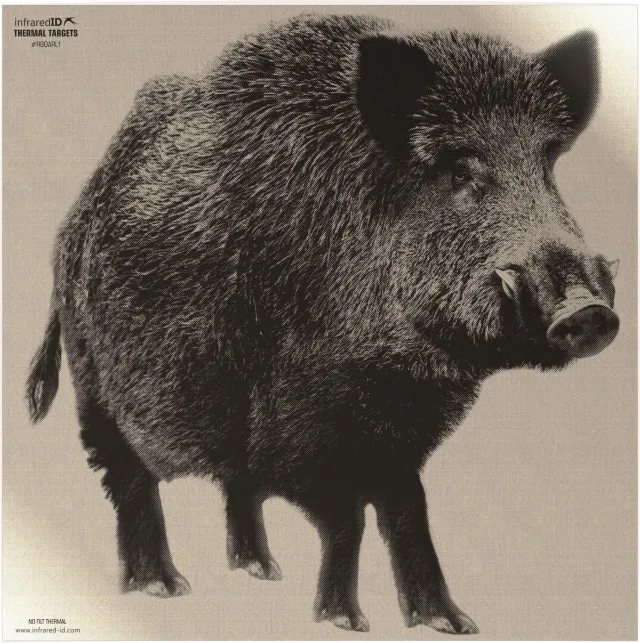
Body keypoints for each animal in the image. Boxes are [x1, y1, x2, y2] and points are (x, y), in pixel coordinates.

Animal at [26, 14, 619, 634]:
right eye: (461, 169)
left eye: (547, 165)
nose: (587, 311)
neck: (396, 368)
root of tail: (73, 222)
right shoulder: (305, 423)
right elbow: (348, 520)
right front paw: (345, 622)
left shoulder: (400, 430)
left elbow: (408, 512)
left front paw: (451, 625)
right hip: (95, 381)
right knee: (128, 479)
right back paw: (162, 588)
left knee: (234, 485)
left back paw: (261, 571)